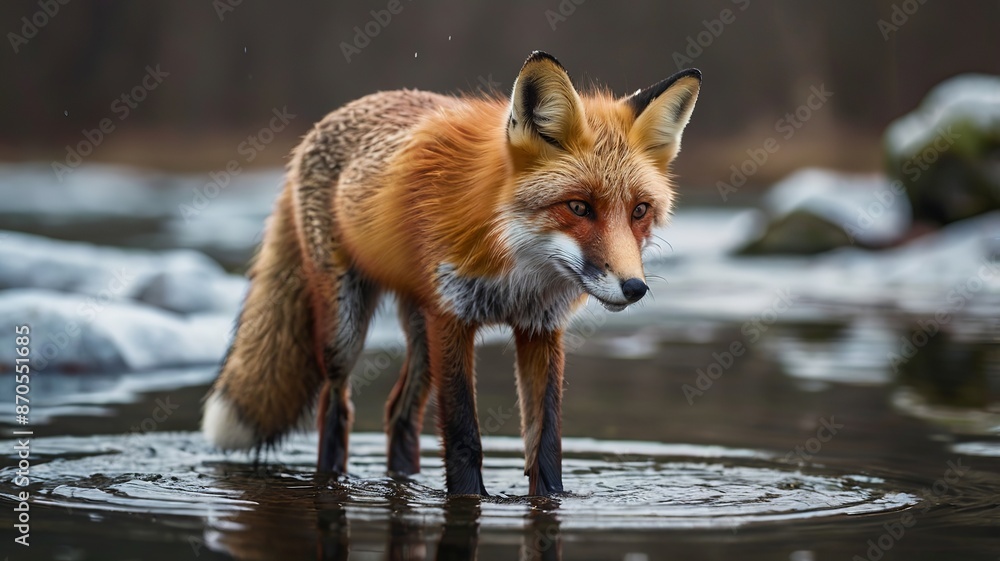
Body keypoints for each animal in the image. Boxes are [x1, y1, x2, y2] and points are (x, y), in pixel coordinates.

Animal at [201, 51, 700, 496]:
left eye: (639, 211)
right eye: (578, 207)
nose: (634, 288)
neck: (518, 271)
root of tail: (315, 131)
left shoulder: (540, 329)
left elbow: (546, 446)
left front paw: (550, 498)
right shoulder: (453, 318)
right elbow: (464, 437)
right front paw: (468, 498)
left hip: (421, 334)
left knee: (398, 414)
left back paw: (402, 482)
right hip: (349, 331)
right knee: (336, 405)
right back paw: (333, 479)